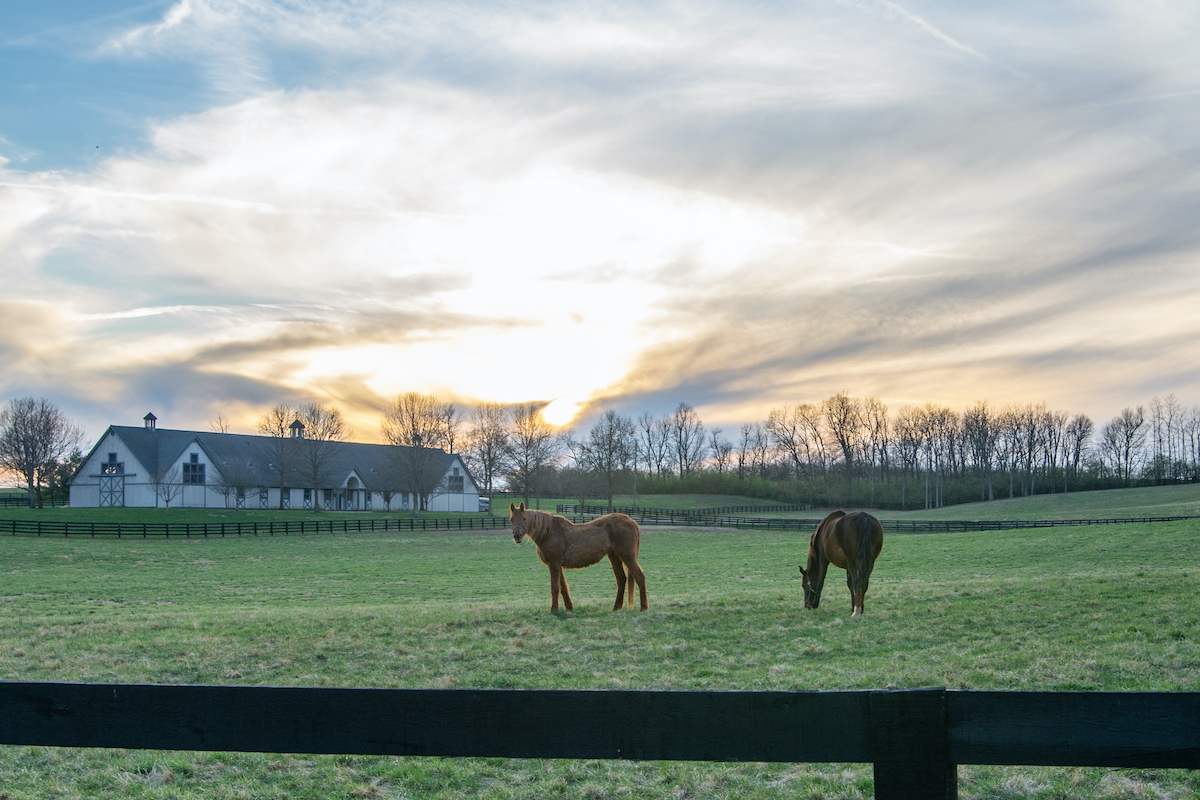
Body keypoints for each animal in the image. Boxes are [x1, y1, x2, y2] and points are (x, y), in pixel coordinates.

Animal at [511, 506, 652, 614]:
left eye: (524, 519)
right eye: (511, 519)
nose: (517, 536)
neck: (548, 532)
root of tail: (632, 521)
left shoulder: (554, 564)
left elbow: (555, 587)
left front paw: (554, 609)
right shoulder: (557, 565)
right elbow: (563, 587)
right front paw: (569, 607)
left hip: (627, 556)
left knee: (639, 577)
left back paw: (643, 607)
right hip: (614, 556)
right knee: (621, 579)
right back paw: (616, 607)